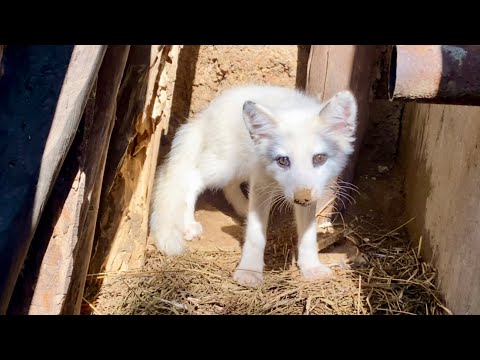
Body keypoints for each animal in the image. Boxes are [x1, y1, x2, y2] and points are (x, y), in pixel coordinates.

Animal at [150, 84, 356, 286]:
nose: (302, 197)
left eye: (319, 158)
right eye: (283, 161)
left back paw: (243, 208)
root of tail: (207, 112)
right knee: (190, 179)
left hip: (241, 167)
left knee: (229, 186)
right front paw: (249, 271)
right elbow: (256, 235)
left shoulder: (306, 194)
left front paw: (311, 267)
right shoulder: (261, 184)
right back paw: (189, 223)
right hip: (224, 167)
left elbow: (308, 235)